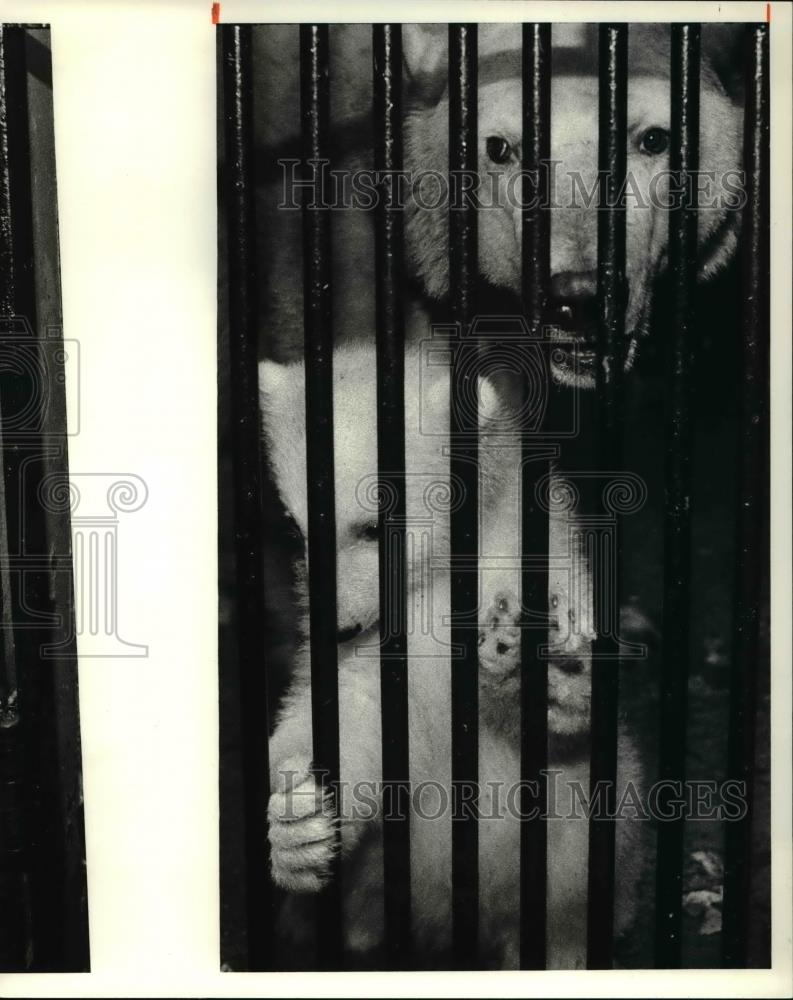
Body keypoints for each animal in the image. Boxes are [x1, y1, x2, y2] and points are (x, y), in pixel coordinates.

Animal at [260, 338, 648, 968]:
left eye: (373, 527)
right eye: (296, 530)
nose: (335, 629)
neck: (441, 576)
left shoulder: (540, 554)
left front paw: (553, 671)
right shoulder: (380, 646)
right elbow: (352, 719)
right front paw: (299, 827)